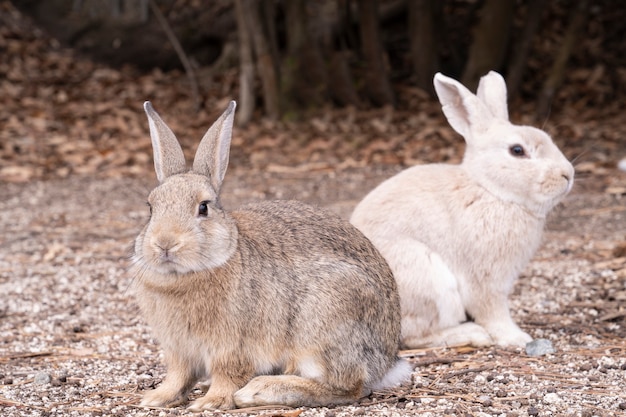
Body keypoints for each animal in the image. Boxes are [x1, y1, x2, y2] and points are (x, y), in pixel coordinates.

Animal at [129, 101, 410, 410]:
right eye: (151, 207)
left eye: (203, 207)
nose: (165, 243)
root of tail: (386, 361)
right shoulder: (179, 351)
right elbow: (178, 376)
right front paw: (157, 398)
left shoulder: (232, 349)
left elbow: (227, 376)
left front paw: (209, 403)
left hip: (325, 322)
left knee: (347, 386)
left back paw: (260, 391)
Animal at [348, 71, 572, 348]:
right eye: (517, 150)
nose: (568, 175)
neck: (490, 189)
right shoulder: (487, 279)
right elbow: (493, 312)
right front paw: (516, 338)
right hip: (428, 279)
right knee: (413, 336)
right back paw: (471, 334)